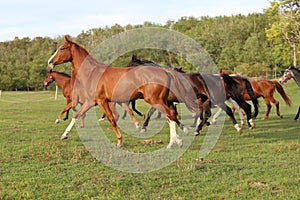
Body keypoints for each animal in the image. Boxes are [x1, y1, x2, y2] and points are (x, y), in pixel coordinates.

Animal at [47, 35, 199, 148]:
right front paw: (64, 135)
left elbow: (111, 119)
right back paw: (177, 139)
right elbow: (77, 115)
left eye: (62, 48)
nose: (50, 61)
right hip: (161, 100)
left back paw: (173, 142)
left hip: (155, 100)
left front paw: (119, 141)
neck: (92, 73)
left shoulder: (101, 101)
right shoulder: (91, 102)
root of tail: (165, 71)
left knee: (170, 115)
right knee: (171, 115)